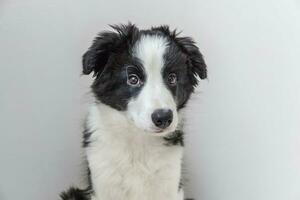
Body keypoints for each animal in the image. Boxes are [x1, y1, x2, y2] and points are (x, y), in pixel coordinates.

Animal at [61, 23, 206, 200]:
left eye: (172, 78)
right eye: (133, 79)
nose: (164, 118)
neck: (138, 139)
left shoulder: (170, 181)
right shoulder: (103, 180)